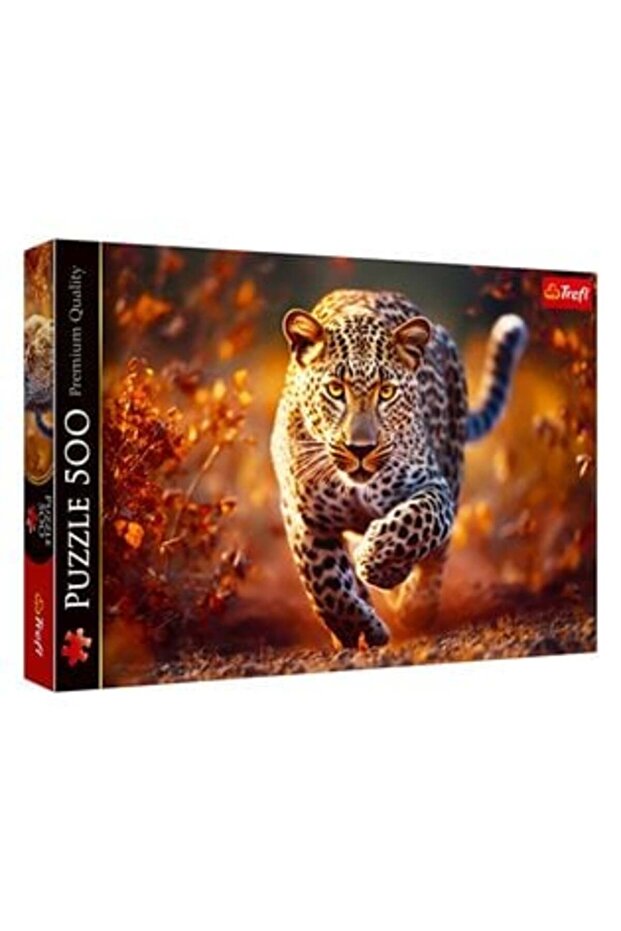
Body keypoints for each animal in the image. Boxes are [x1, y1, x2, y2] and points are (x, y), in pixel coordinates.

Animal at [270, 289, 528, 649]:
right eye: (335, 390)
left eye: (387, 392)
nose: (360, 449)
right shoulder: (302, 513)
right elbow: (325, 583)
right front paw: (359, 631)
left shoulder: (432, 485)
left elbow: (415, 521)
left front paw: (381, 565)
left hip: (452, 464)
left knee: (438, 554)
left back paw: (416, 606)